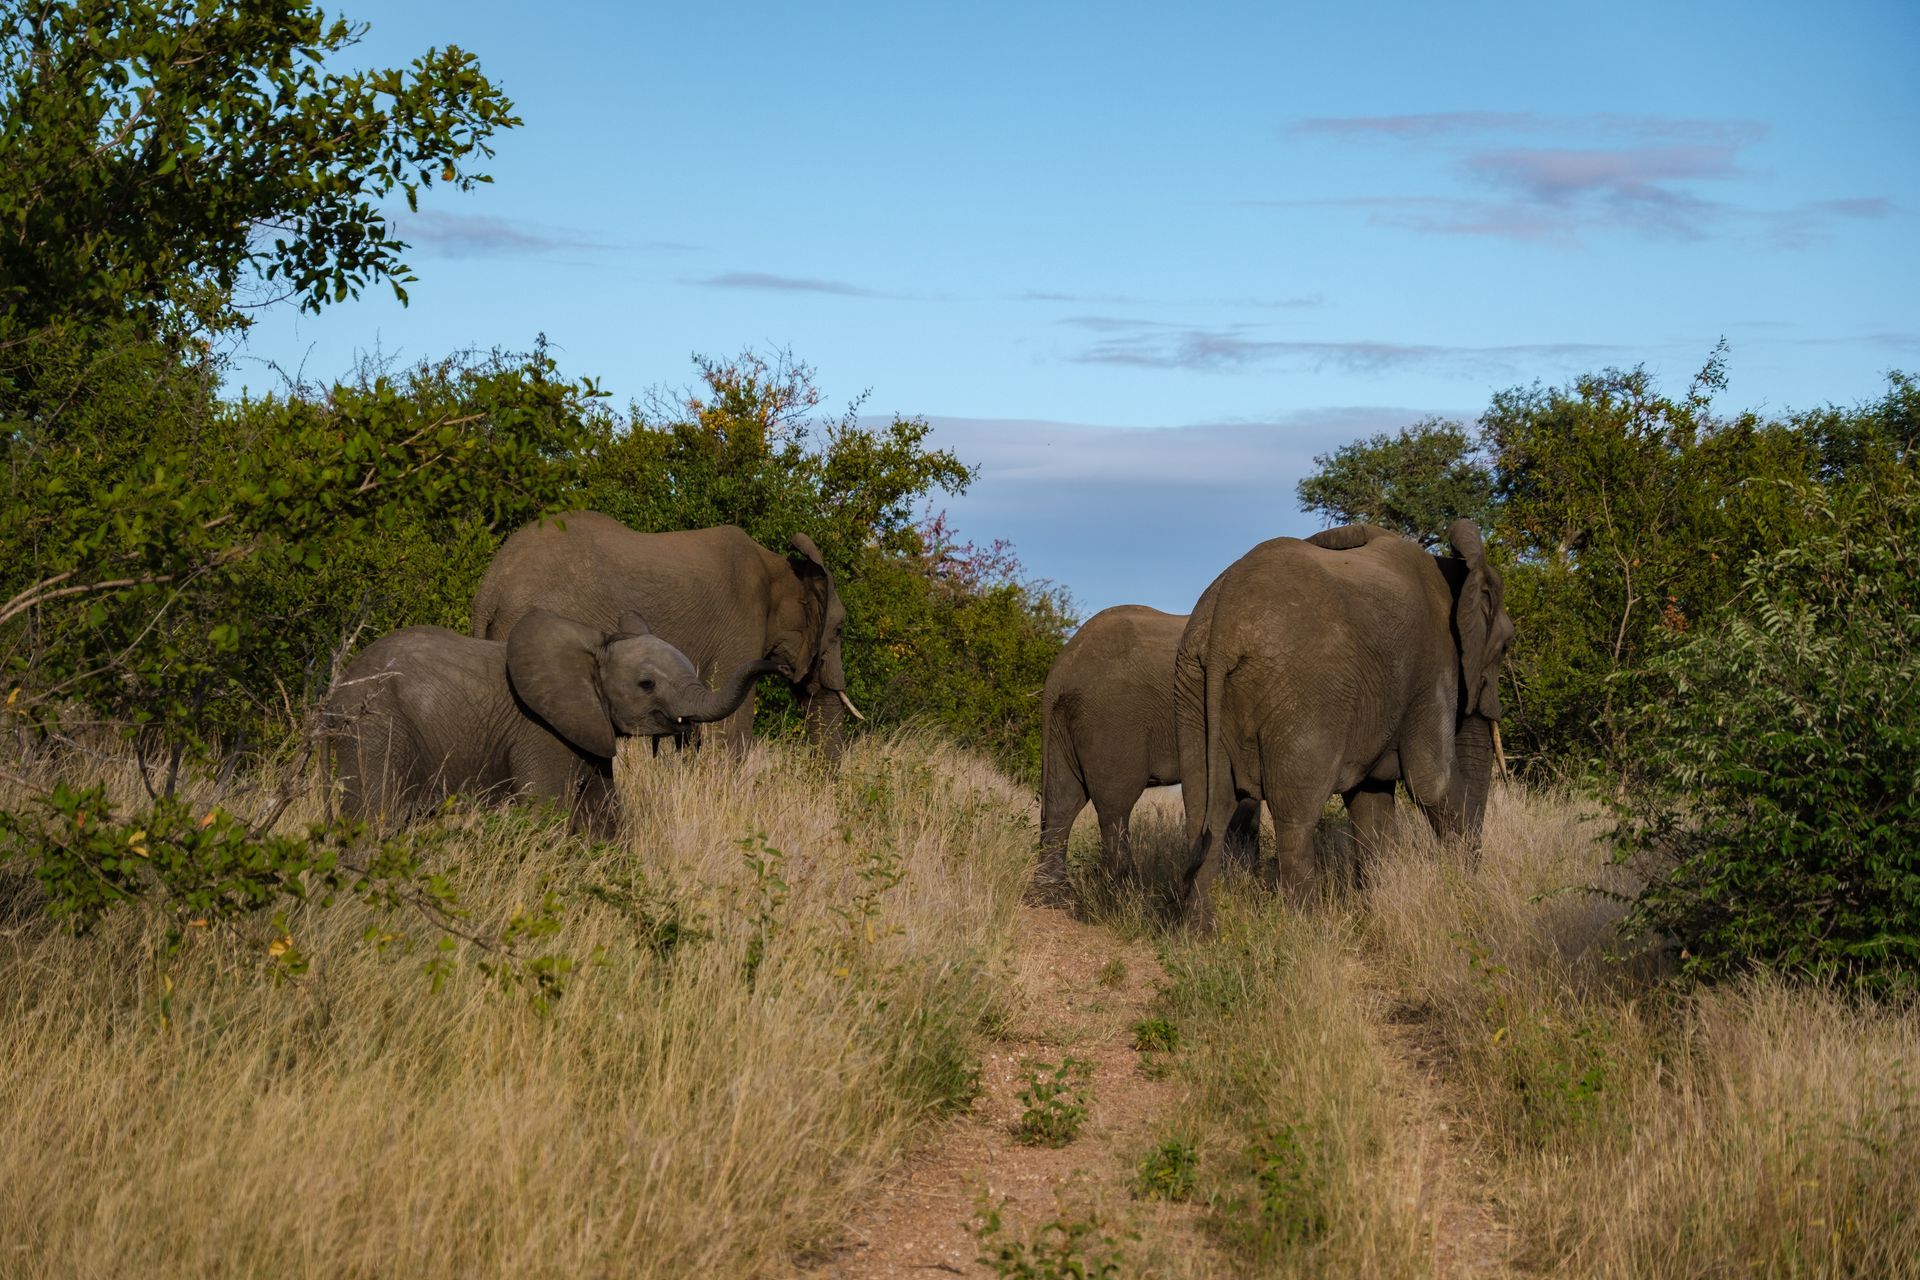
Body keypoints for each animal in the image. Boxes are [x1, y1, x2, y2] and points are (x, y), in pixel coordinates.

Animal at [324, 608, 780, 834]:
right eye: (646, 684)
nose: (779, 663)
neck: (591, 648)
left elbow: (604, 815)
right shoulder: (541, 730)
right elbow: (549, 813)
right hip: (374, 728)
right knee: (372, 821)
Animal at [1037, 605, 1259, 901]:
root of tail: (1060, 671)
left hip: (1064, 725)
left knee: (1063, 800)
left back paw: (1052, 894)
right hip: (1112, 721)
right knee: (1115, 806)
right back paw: (1127, 894)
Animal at [1174, 520, 1514, 930]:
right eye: (1507, 646)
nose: (1470, 885)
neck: (1454, 572)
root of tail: (1224, 622)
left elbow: (1371, 802)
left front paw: (1377, 905)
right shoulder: (1433, 669)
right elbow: (1430, 783)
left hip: (1192, 688)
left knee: (1206, 807)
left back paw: (1199, 932)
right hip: (1306, 693)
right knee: (1296, 816)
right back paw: (1309, 928)